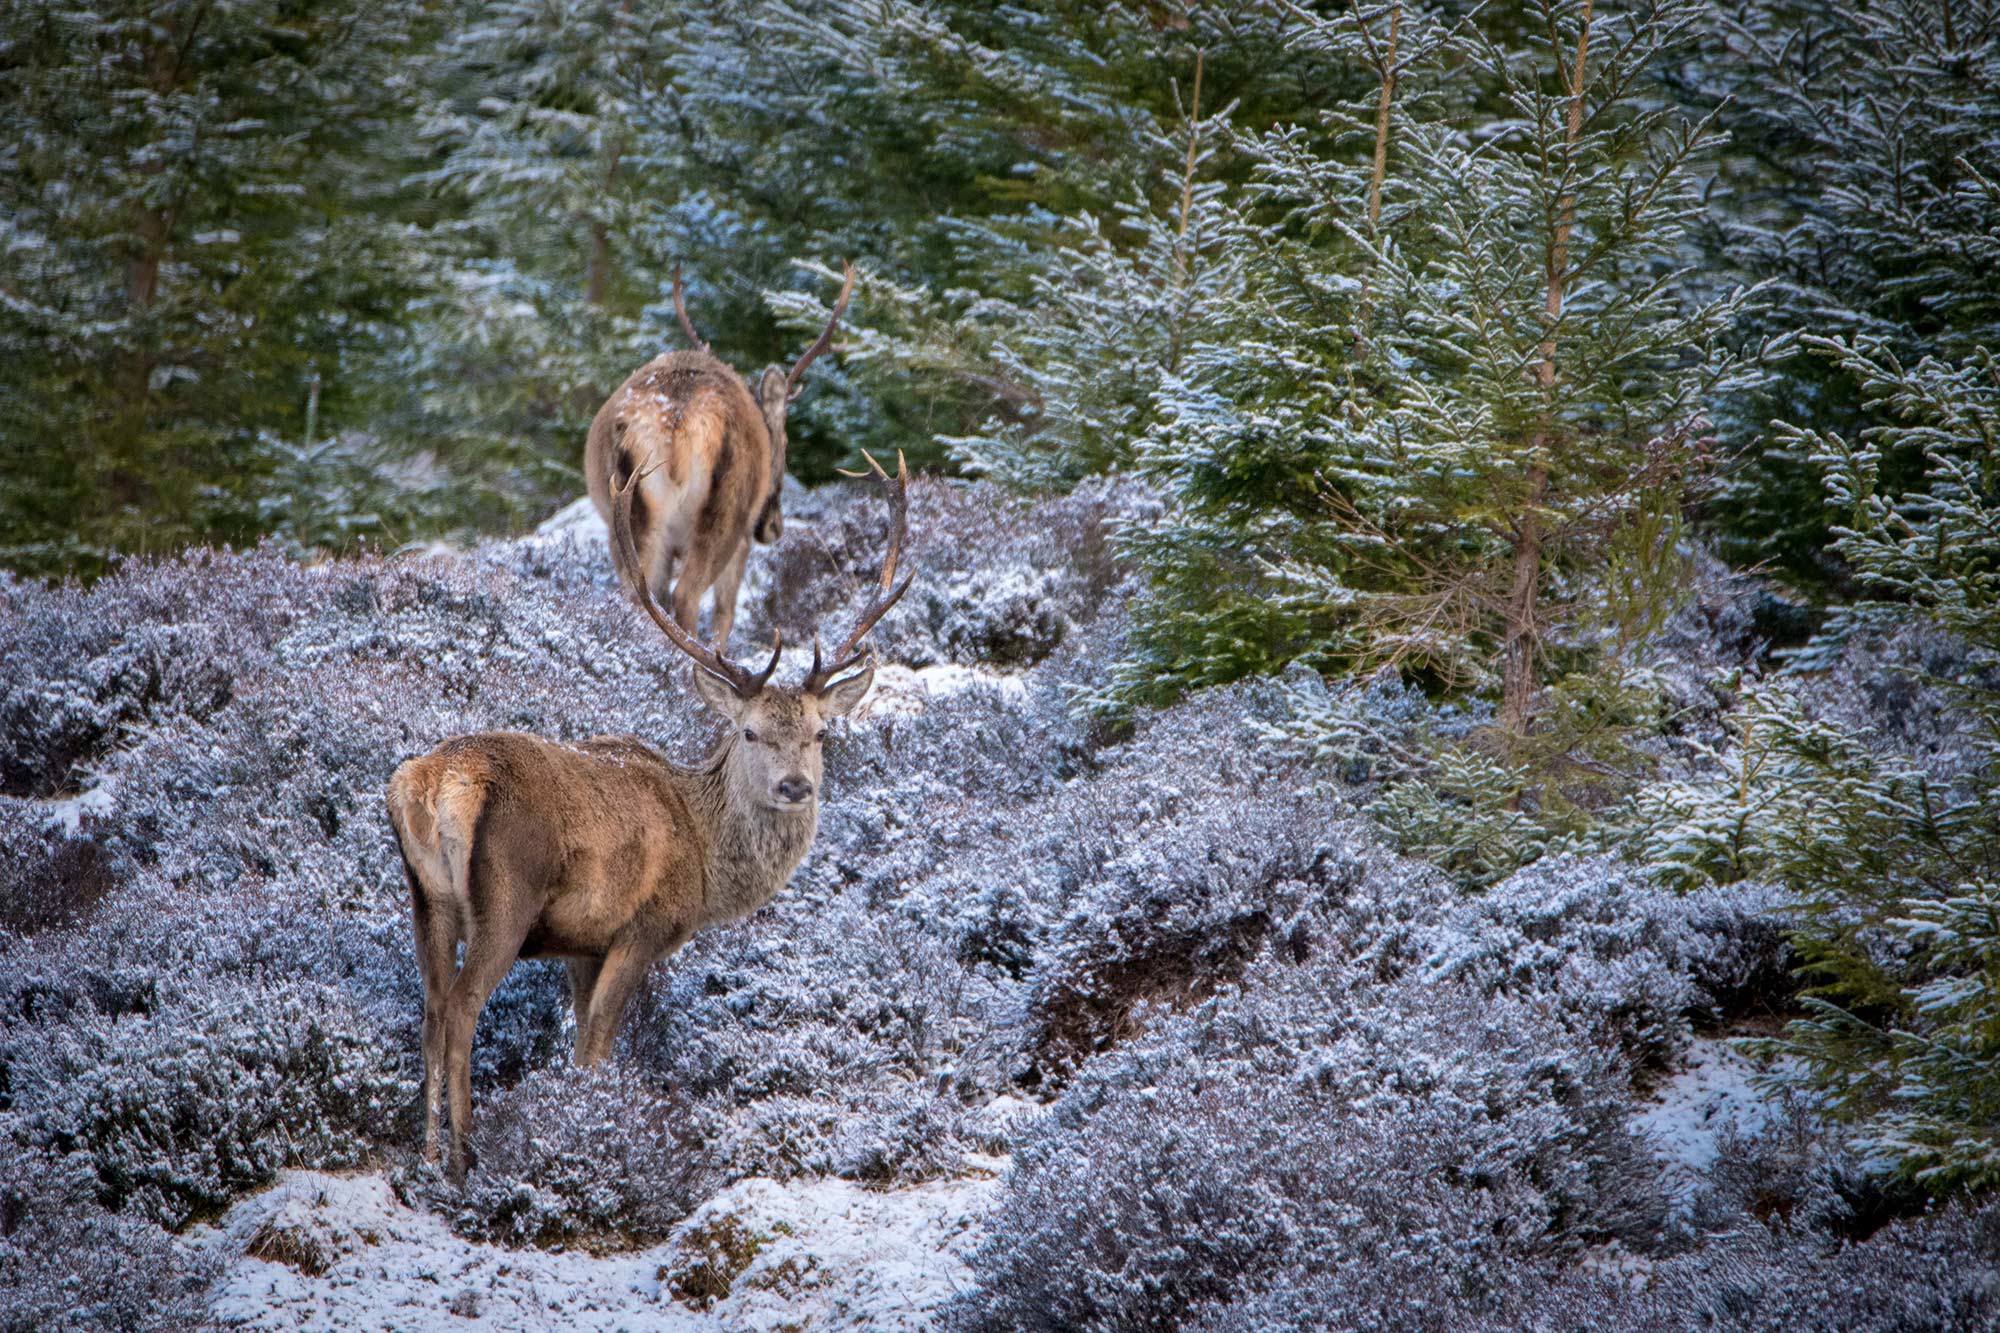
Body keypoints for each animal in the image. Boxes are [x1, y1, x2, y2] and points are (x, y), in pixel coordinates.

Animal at [584, 260, 856, 648]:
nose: (773, 527)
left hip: (629, 512)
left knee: (641, 596)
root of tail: (676, 422)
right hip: (728, 509)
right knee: (688, 596)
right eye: (785, 443)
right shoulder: (742, 543)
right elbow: (725, 614)